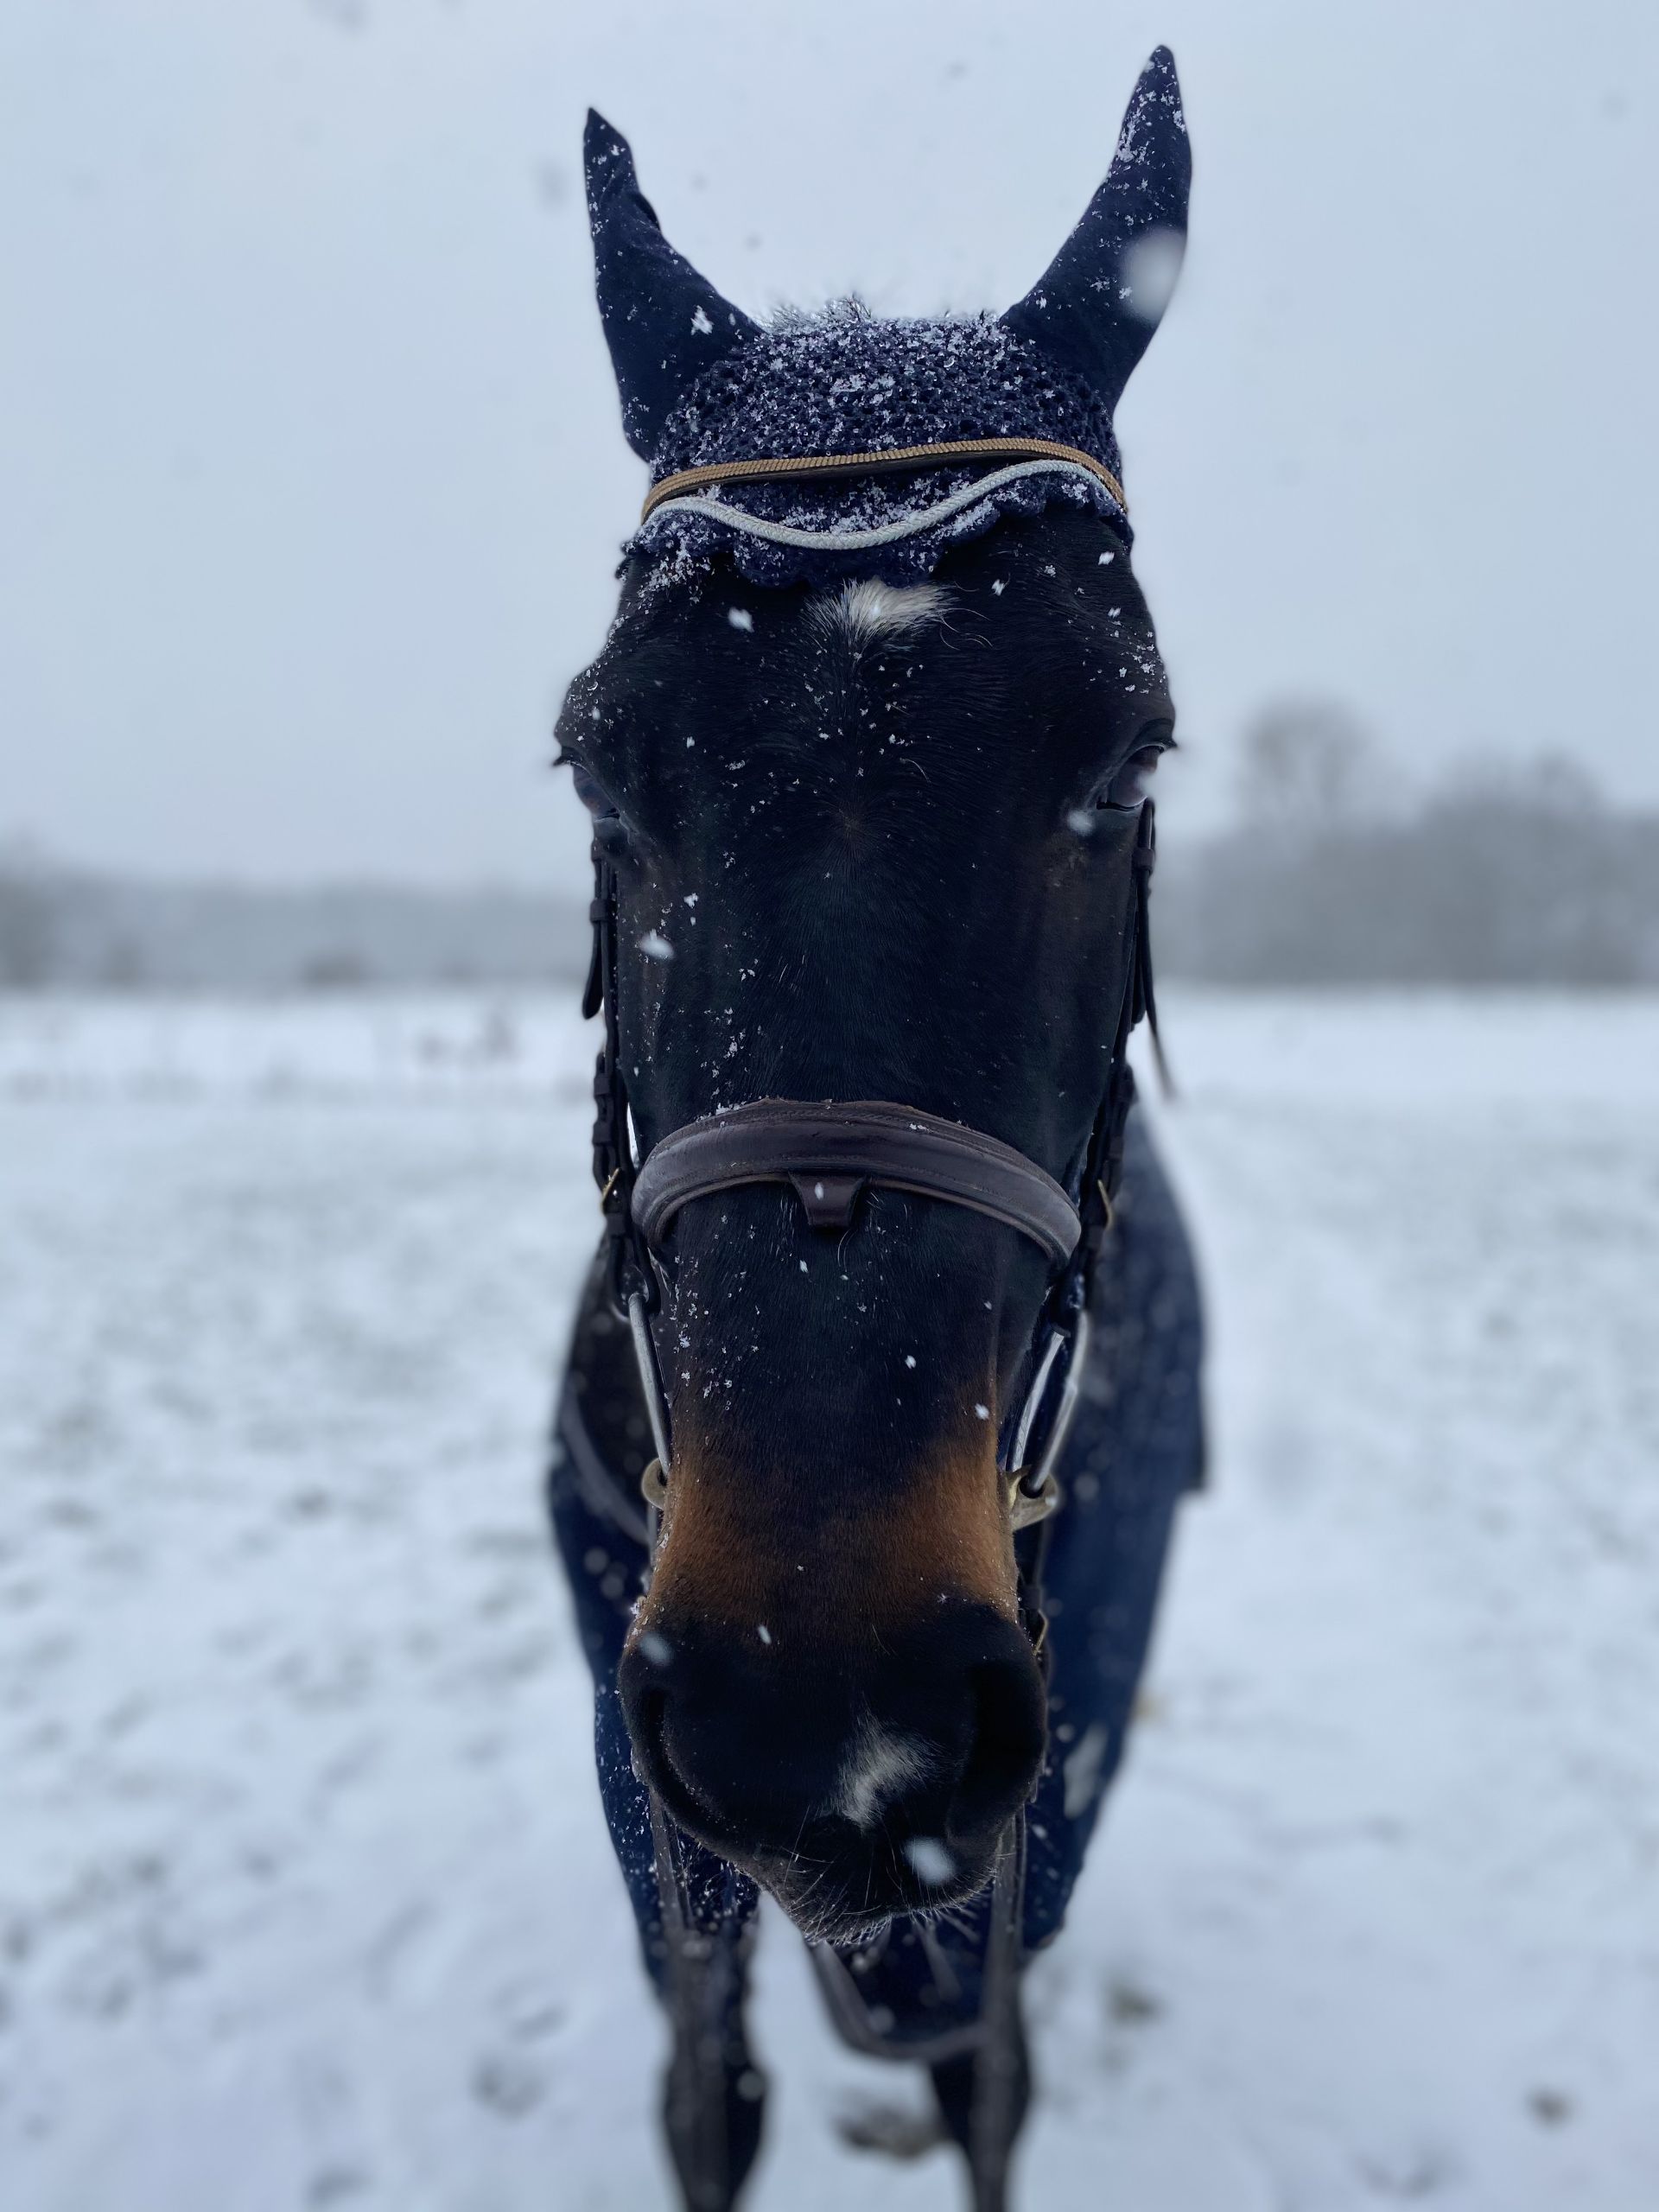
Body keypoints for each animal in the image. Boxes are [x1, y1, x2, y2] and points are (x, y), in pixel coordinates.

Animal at [545, 48, 1205, 2211]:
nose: (819, 1700)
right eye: (599, 754)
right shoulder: (657, 1825)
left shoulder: (1014, 1840)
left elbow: (982, 2076)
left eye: (1131, 752)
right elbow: (711, 2093)